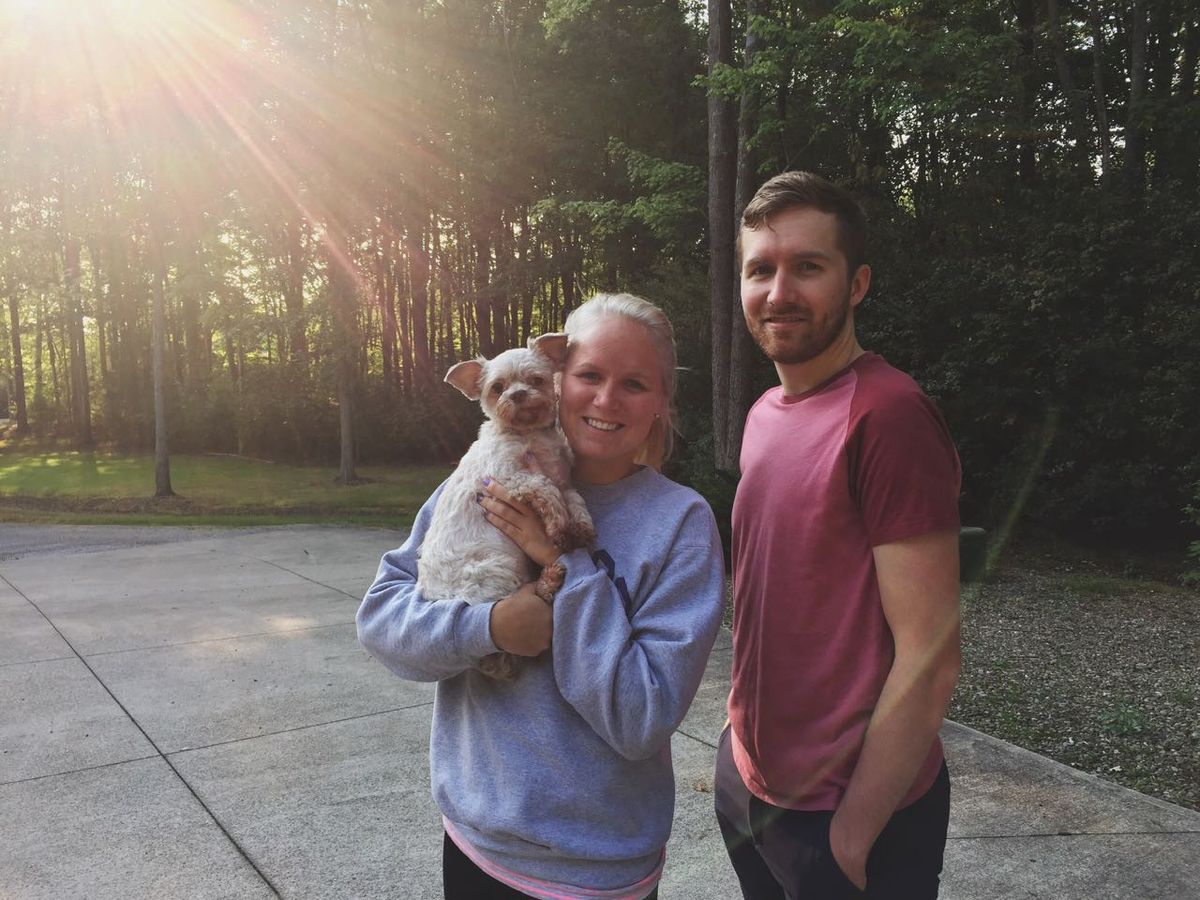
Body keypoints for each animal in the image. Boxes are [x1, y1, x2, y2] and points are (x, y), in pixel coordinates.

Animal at [416, 332, 595, 680]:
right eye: (497, 387)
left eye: (536, 379)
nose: (519, 394)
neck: (529, 436)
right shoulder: (507, 477)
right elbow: (546, 489)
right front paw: (559, 528)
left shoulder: (564, 480)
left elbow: (574, 500)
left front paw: (580, 527)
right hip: (497, 570)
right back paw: (548, 580)